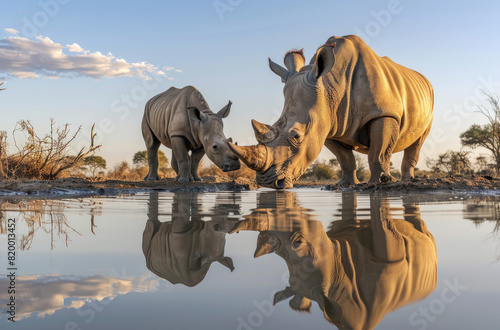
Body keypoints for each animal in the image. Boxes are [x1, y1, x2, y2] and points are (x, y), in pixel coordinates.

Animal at [229, 35, 434, 188]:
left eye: (296, 136)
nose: (267, 183)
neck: (330, 86)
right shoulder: (327, 124)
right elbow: (344, 158)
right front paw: (346, 185)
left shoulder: (383, 113)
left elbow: (379, 153)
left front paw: (380, 183)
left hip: (429, 102)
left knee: (419, 140)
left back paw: (408, 181)